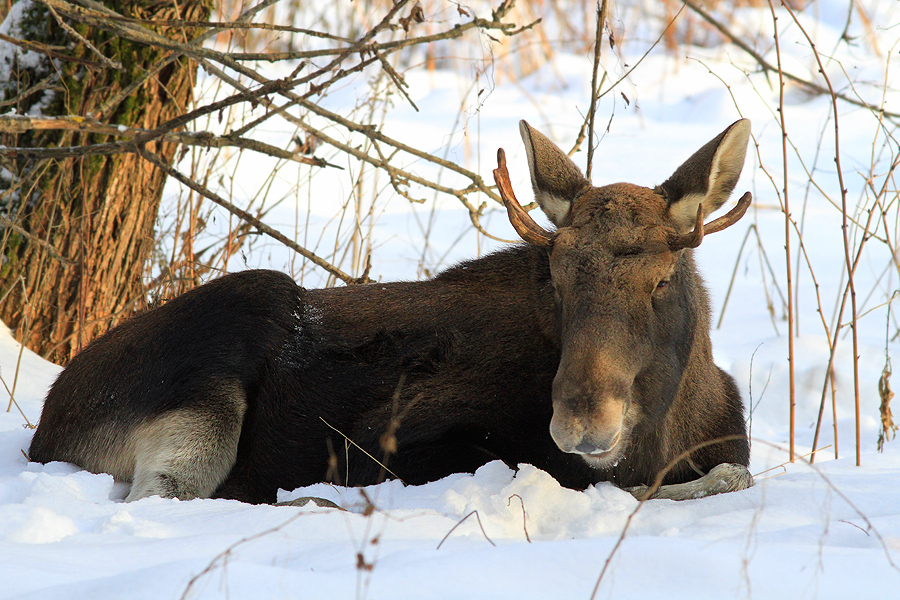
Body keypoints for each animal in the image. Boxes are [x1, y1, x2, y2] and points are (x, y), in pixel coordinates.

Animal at [29, 117, 752, 502]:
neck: (673, 426)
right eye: (556, 278)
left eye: (663, 278)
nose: (581, 422)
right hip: (224, 368)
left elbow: (729, 469)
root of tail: (45, 430)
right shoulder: (384, 445)